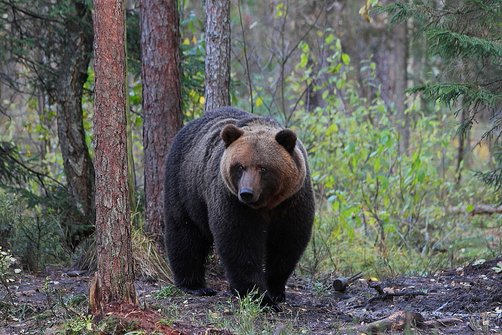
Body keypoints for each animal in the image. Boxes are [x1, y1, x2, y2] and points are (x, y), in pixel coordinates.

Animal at [164, 107, 314, 308]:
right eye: (240, 166)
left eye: (263, 168)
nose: (246, 192)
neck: (267, 204)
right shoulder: (233, 201)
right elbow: (240, 241)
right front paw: (258, 296)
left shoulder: (292, 200)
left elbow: (287, 242)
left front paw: (275, 291)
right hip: (185, 185)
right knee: (184, 231)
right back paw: (195, 285)